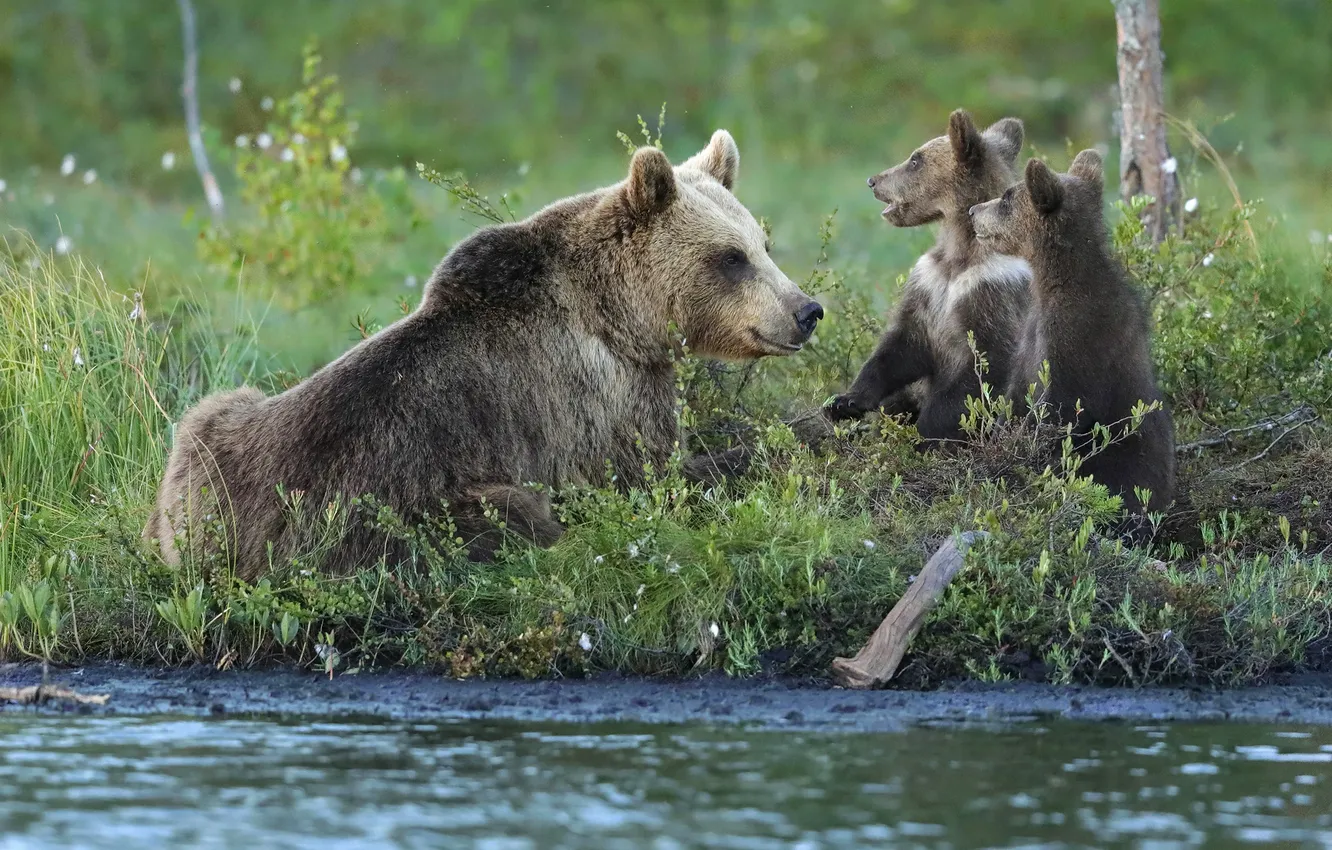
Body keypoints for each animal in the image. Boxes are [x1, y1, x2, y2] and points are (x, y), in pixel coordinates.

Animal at [143, 130, 824, 581]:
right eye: (730, 258)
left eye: (763, 244)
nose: (806, 310)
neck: (624, 317)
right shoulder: (598, 396)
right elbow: (655, 477)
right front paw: (788, 438)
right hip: (391, 509)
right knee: (511, 513)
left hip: (209, 438)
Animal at [825, 109, 1031, 444]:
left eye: (914, 160)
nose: (873, 180)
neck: (959, 253)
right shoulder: (929, 282)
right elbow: (902, 345)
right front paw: (844, 401)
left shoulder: (993, 291)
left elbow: (983, 369)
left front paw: (926, 434)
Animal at [968, 149, 1176, 518]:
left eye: (1007, 197)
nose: (973, 211)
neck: (1052, 280)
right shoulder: (1031, 336)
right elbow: (1017, 393)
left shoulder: (1074, 337)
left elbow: (1059, 410)